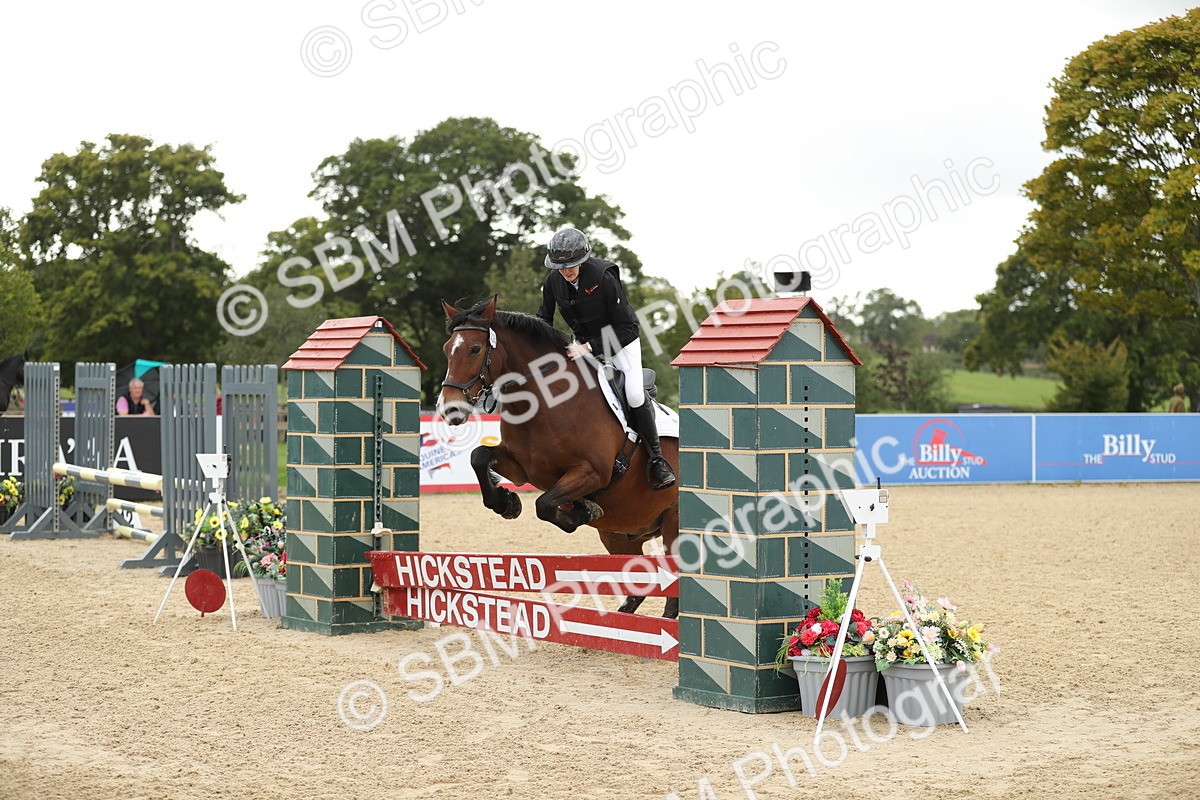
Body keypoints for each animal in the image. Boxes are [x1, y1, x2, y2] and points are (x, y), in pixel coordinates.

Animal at [438, 297, 680, 618]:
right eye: (446, 349)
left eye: (475, 349)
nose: (449, 410)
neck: (546, 401)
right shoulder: (521, 469)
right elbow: (479, 457)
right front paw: (507, 503)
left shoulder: (592, 473)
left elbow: (544, 504)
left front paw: (584, 511)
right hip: (619, 533)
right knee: (639, 584)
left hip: (673, 525)